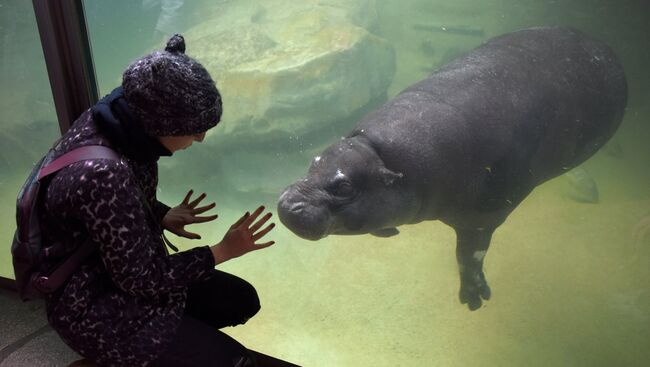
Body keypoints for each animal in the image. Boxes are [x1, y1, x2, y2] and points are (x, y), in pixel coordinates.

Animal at [276, 27, 624, 312]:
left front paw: (474, 298)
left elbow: (469, 256)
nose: (287, 205)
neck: (381, 157)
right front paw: (387, 231)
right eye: (314, 161)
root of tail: (604, 46)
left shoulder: (483, 218)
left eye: (345, 188)